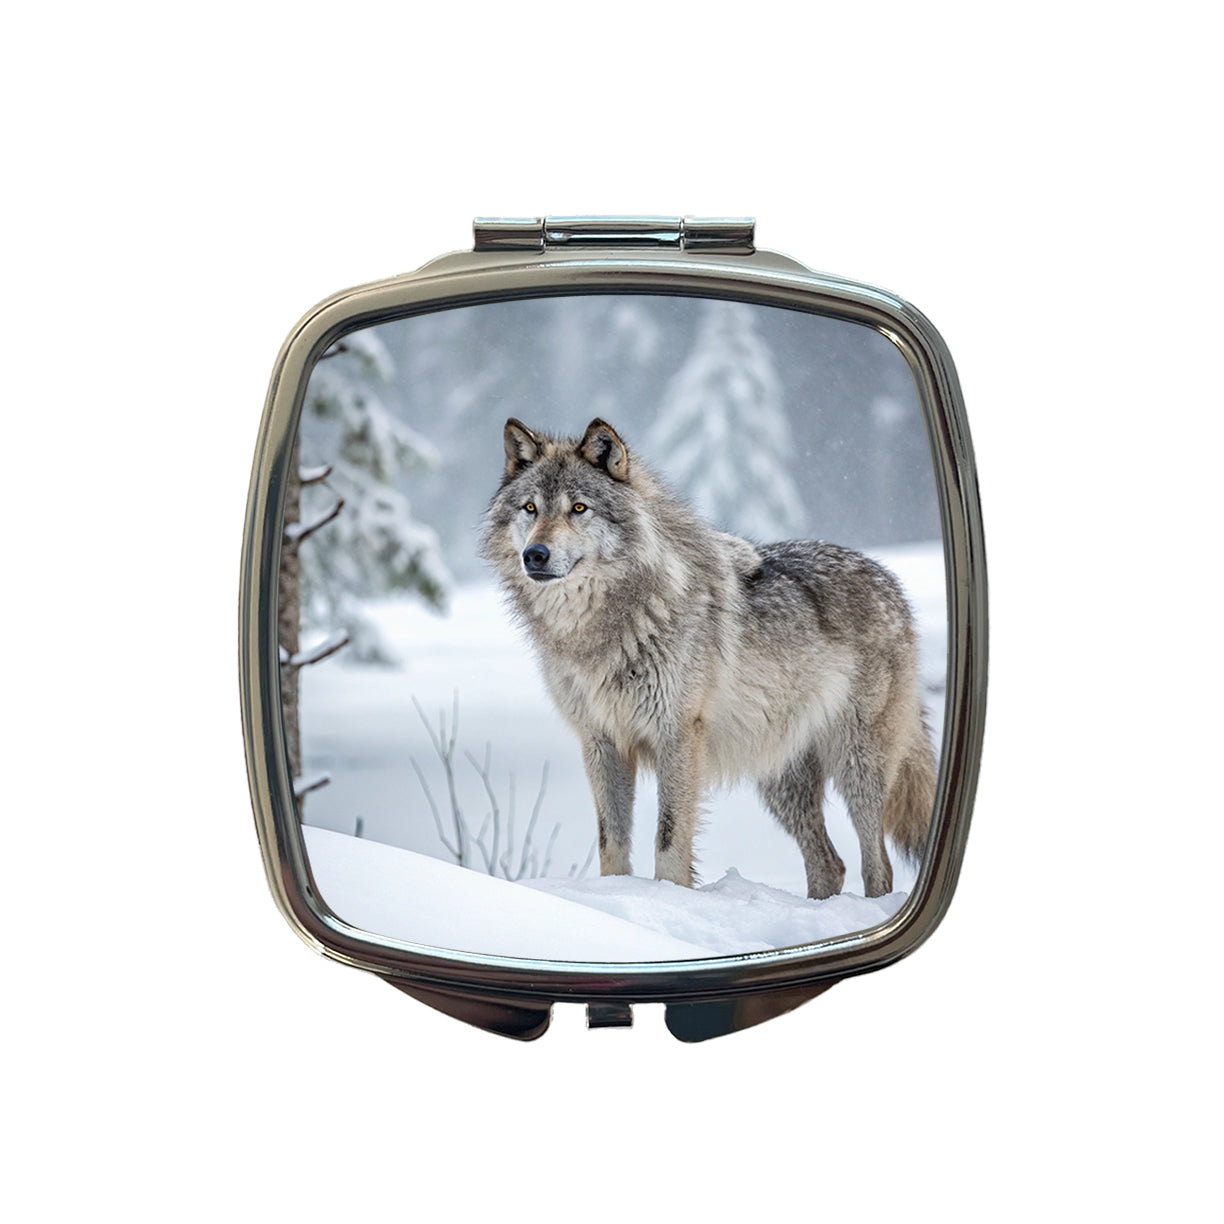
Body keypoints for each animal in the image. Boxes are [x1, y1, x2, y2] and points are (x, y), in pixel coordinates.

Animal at [479, 418, 936, 899]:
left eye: (579, 508)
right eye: (530, 508)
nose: (535, 555)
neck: (603, 627)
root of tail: (888, 579)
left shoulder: (677, 735)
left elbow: (669, 838)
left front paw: (668, 898)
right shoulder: (601, 741)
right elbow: (611, 842)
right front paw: (614, 896)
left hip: (857, 764)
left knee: (878, 865)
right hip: (780, 779)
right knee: (830, 864)